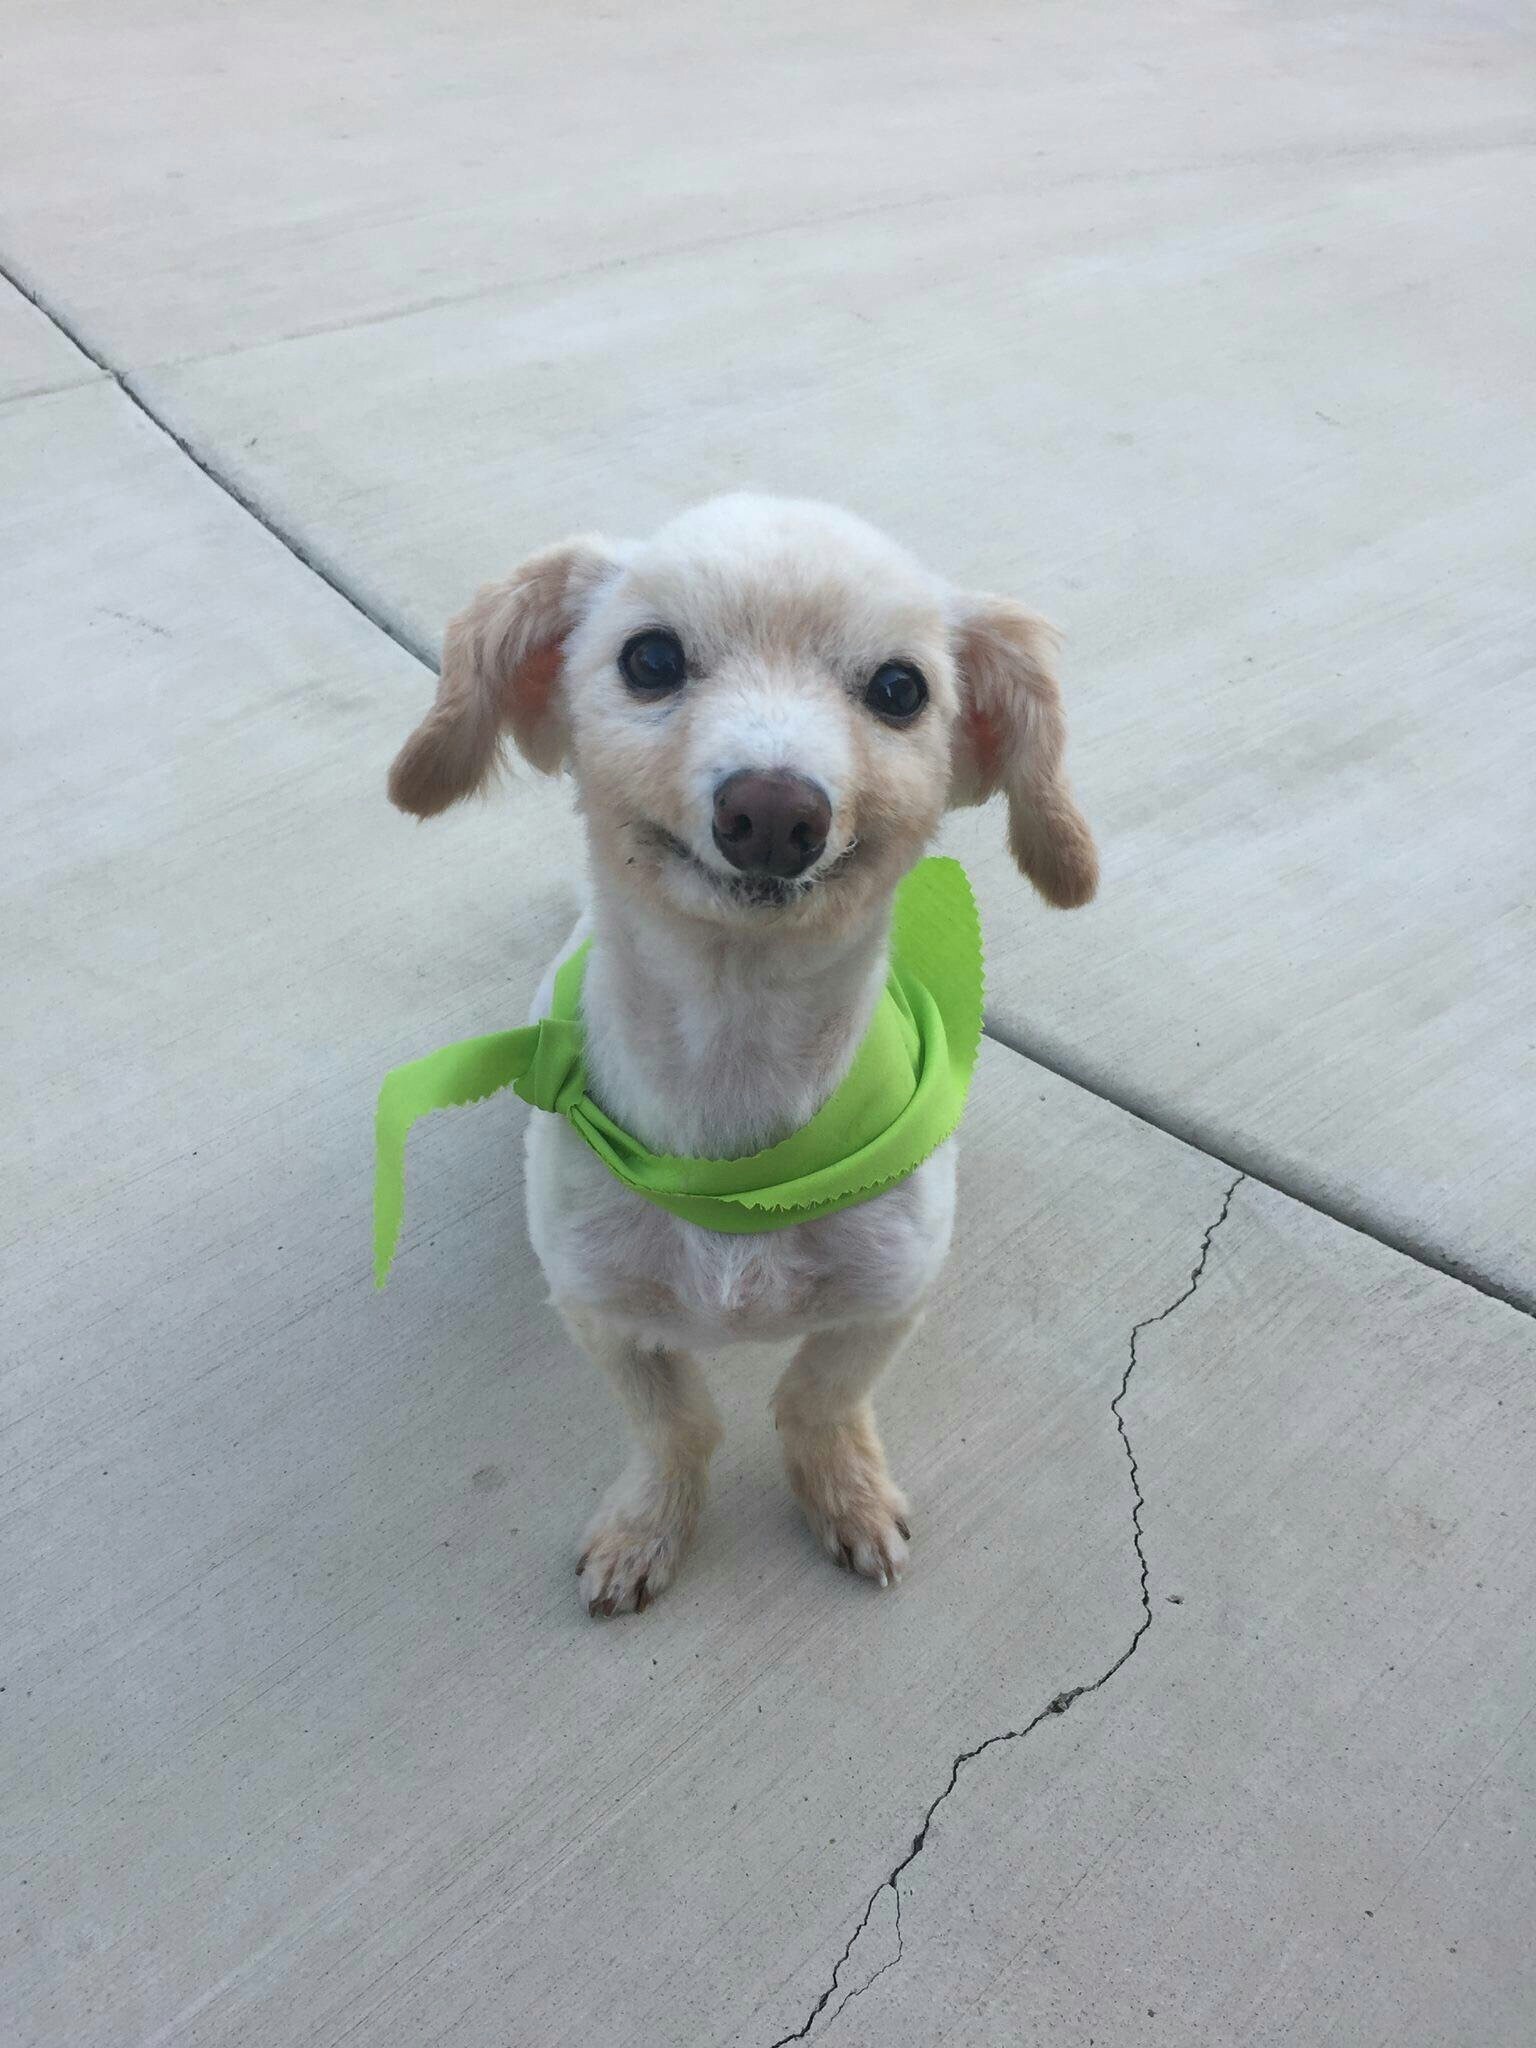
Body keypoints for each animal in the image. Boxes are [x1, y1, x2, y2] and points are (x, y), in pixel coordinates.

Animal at [391, 491, 1097, 1613]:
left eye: (900, 688)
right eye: (650, 658)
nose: (773, 811)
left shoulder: (888, 1295)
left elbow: (817, 1398)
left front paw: (844, 1490)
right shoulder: (603, 1310)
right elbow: (676, 1423)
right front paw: (650, 1524)